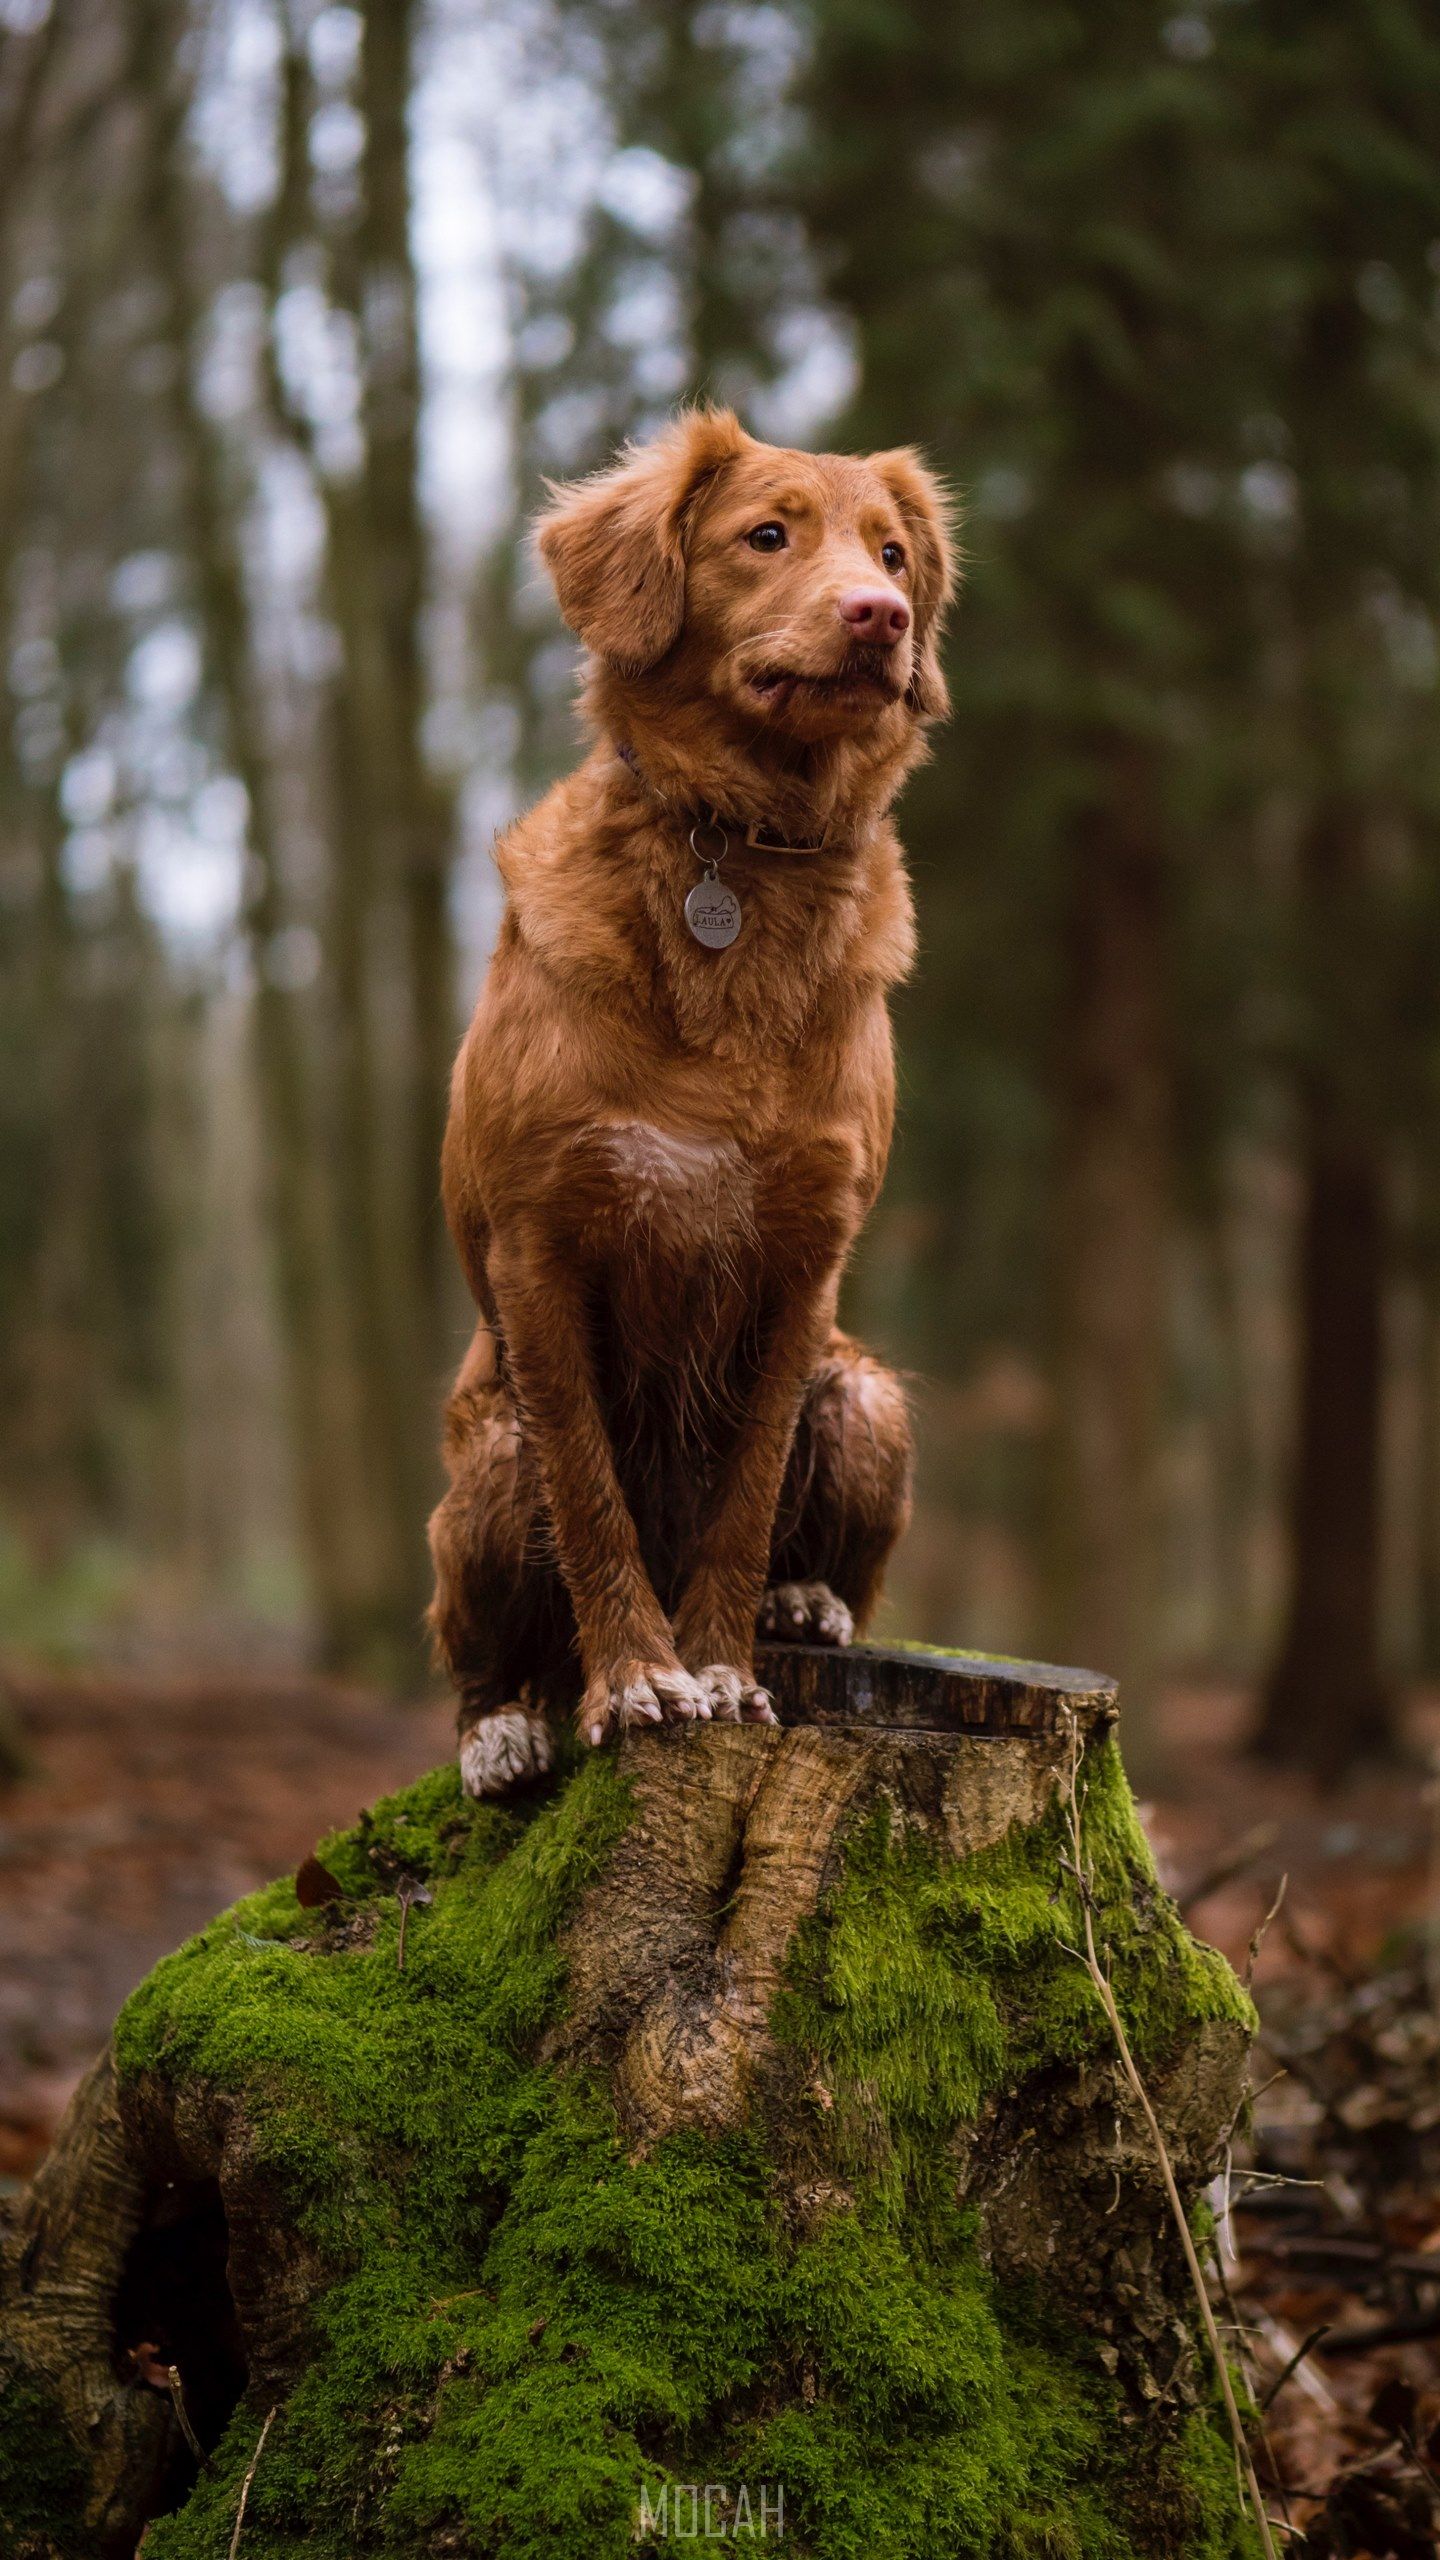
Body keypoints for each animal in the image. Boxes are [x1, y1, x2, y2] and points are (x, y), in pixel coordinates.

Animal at [425, 404, 953, 1802]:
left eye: (892, 551)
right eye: (767, 536)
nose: (881, 614)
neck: (744, 855)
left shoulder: (803, 1262)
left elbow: (745, 1494)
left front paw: (719, 1664)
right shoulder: (543, 1247)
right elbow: (592, 1497)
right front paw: (639, 1679)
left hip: (867, 1395)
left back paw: (805, 1604)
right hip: (485, 1465)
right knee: (475, 1644)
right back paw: (505, 1725)